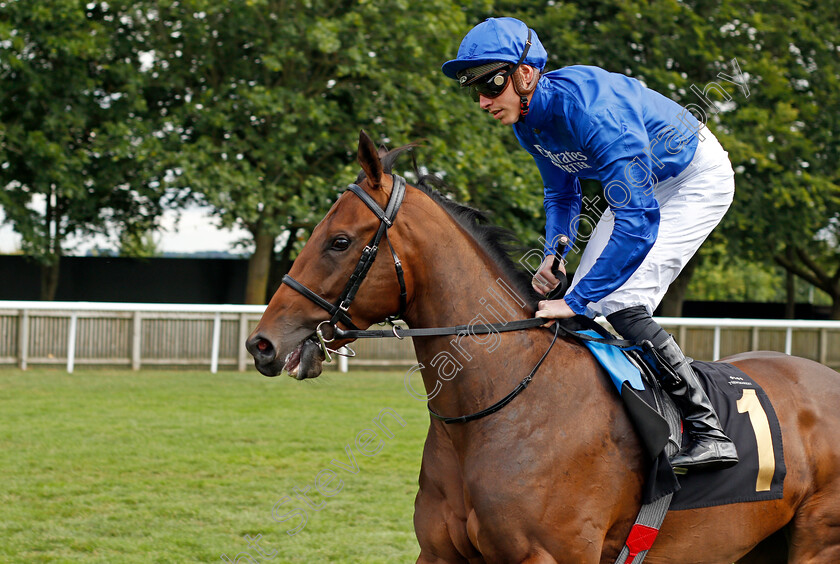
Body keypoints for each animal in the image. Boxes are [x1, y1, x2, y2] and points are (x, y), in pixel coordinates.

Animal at [246, 132, 840, 564]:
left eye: (340, 241)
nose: (262, 344)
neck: (500, 405)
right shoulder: (439, 553)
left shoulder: (554, 556)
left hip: (817, 543)